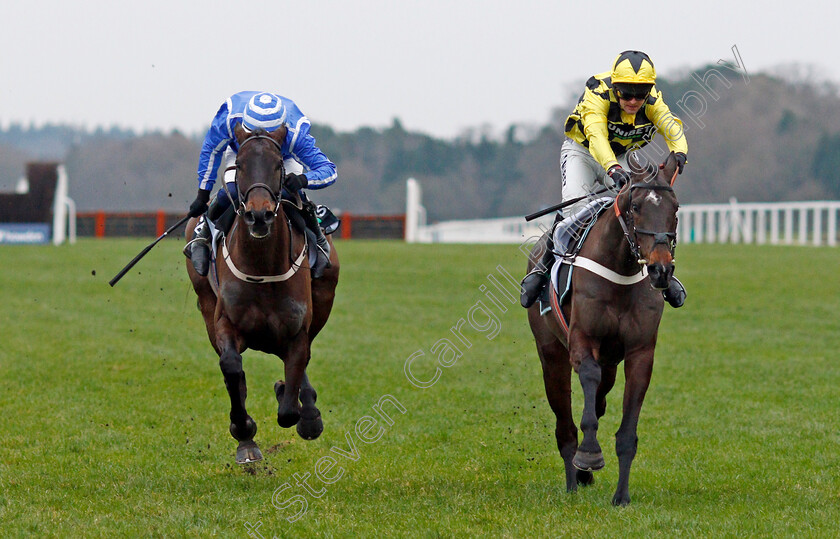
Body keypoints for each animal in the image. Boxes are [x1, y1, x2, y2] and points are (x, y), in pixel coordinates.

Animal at [185, 124, 340, 466]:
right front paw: (244, 431)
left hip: (325, 296)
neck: (262, 267)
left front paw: (301, 408)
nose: (259, 216)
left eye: (278, 165)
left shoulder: (296, 329)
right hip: (205, 302)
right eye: (240, 165)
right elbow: (232, 367)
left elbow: (289, 406)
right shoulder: (225, 322)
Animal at [524, 151, 684, 506]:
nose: (661, 270)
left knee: (599, 399)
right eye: (635, 206)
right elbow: (588, 383)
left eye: (676, 208)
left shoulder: (640, 352)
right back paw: (574, 477)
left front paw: (621, 496)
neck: (620, 270)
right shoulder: (581, 340)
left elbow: (626, 429)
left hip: (611, 360)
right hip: (550, 355)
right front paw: (589, 456)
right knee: (565, 424)